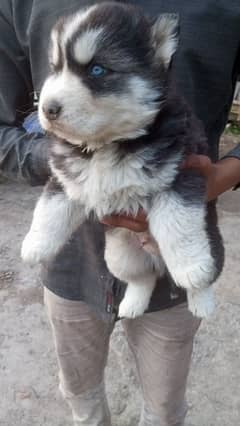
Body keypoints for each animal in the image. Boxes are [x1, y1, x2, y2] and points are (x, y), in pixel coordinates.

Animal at [21, 1, 224, 318]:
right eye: (55, 69)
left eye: (97, 69)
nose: (47, 108)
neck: (107, 145)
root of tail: (157, 259)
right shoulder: (66, 178)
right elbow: (49, 209)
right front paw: (34, 245)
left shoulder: (181, 172)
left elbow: (177, 224)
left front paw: (192, 267)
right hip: (119, 256)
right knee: (144, 278)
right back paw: (132, 304)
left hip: (214, 242)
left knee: (205, 275)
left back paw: (201, 301)